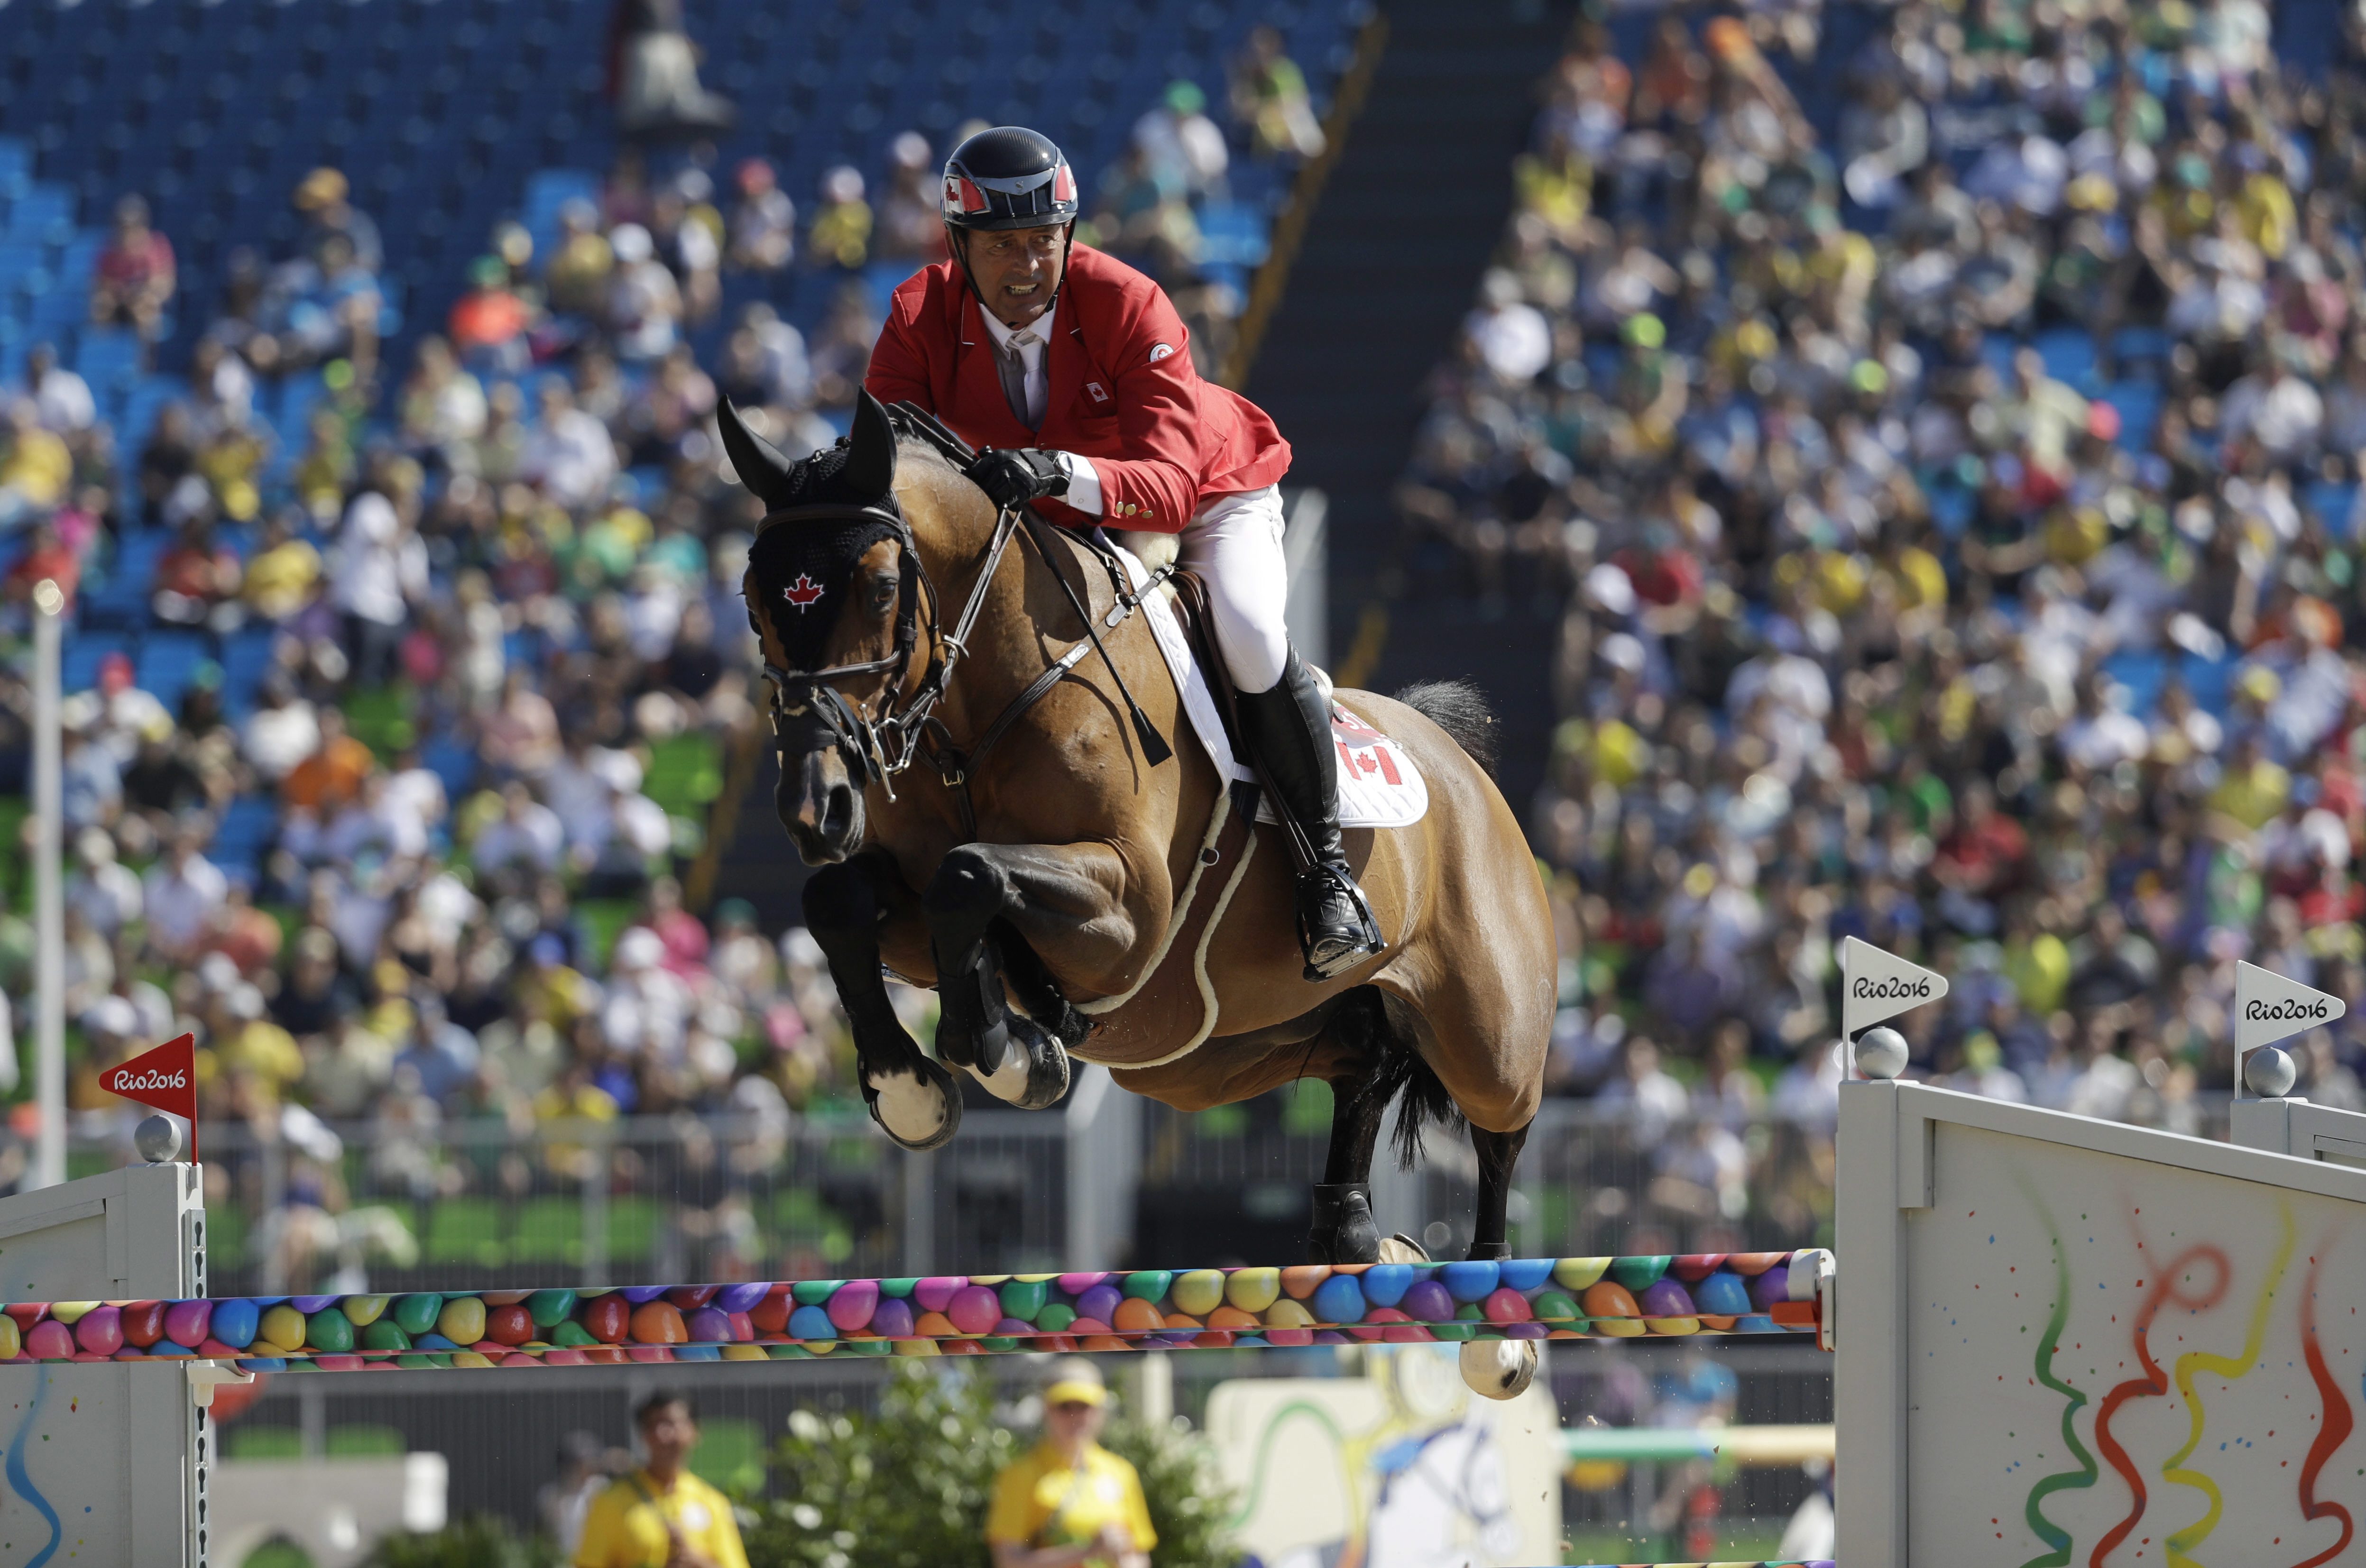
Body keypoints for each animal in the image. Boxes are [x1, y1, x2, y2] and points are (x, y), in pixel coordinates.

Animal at [728, 390, 1561, 1353]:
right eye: (754, 597)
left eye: (880, 587)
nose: (815, 805)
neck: (979, 703)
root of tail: (1454, 757)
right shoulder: (913, 903)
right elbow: (847, 896)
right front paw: (919, 1084)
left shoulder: (1129, 908)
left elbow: (969, 877)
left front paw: (1007, 1051)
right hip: (1212, 1054)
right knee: (1363, 1058)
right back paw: (1354, 1235)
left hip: (1485, 1030)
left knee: (1500, 1132)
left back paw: (1498, 1324)